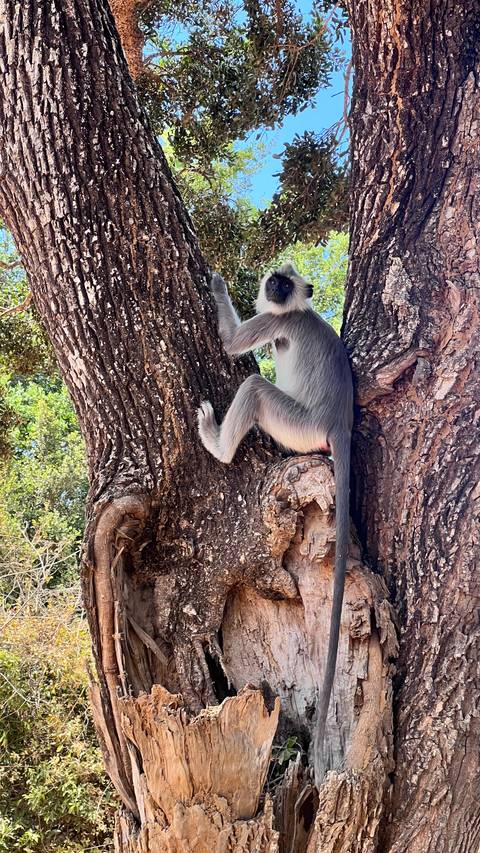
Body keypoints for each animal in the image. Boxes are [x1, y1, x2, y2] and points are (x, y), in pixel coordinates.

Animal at [197, 262, 353, 786]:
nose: (275, 286)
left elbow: (232, 344)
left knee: (255, 387)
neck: (296, 311)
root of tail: (338, 422)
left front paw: (218, 285)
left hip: (296, 424)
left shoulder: (275, 324)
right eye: (279, 279)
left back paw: (218, 445)